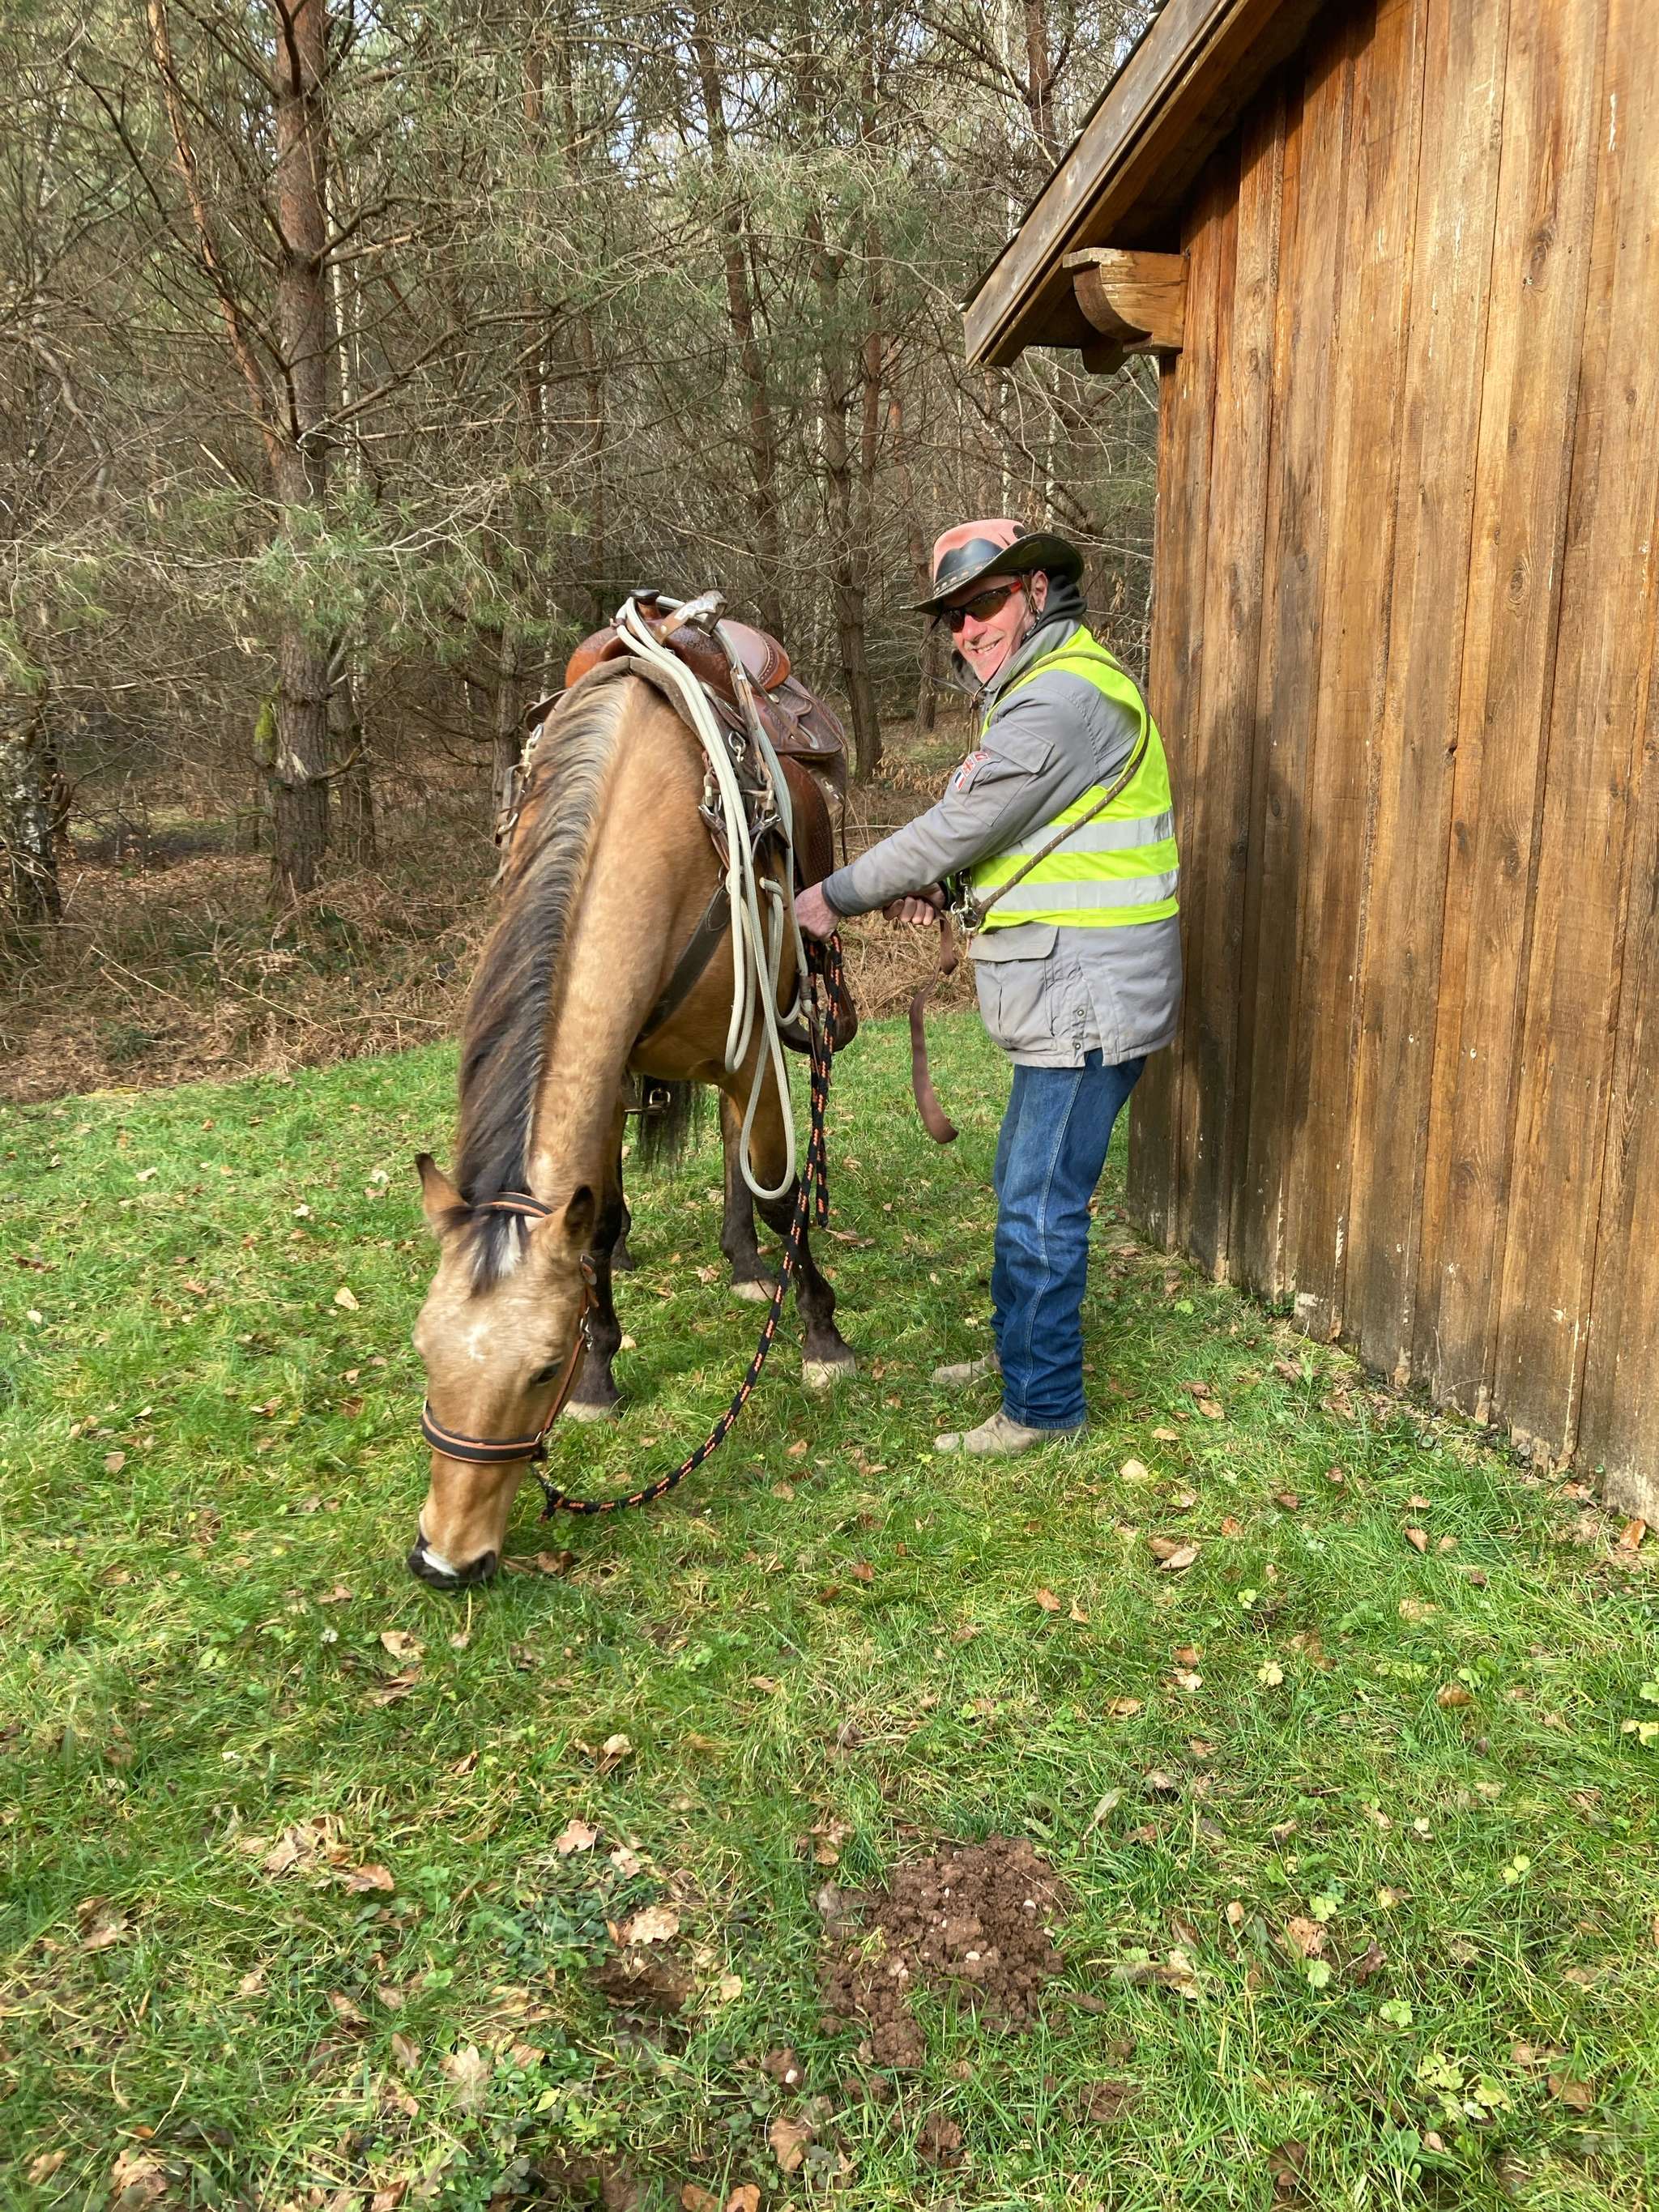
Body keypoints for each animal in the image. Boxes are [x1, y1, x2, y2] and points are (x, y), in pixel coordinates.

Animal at [407, 663, 856, 1587]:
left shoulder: (754, 1050)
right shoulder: (611, 1075)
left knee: (742, 1156)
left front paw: (821, 1333)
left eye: (541, 1368)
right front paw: (603, 1373)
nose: (444, 1558)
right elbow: (600, 1223)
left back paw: (748, 1264)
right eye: (425, 1353)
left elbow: (778, 1193)